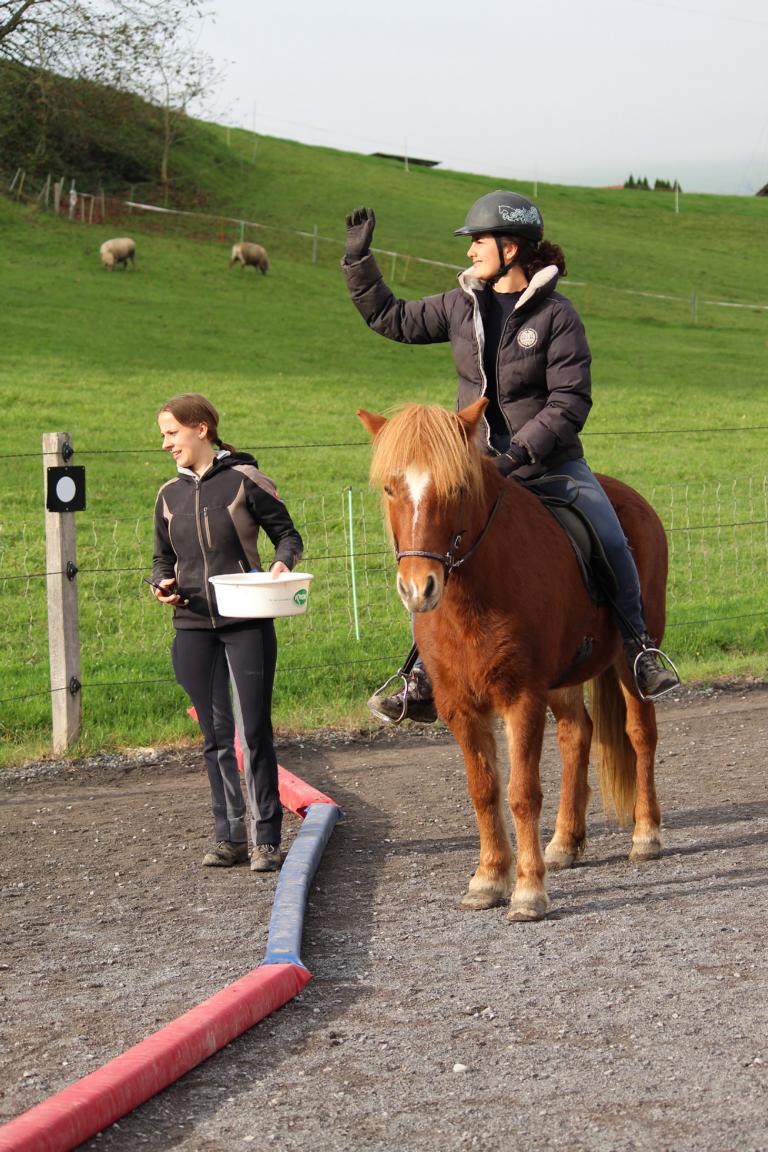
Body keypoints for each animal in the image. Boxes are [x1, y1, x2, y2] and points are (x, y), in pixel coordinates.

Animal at [358, 397, 667, 922]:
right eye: (389, 487)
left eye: (457, 488)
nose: (419, 588)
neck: (475, 591)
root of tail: (635, 501)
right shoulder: (460, 706)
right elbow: (483, 790)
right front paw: (488, 879)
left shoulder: (521, 696)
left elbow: (522, 793)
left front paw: (527, 891)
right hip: (563, 679)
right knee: (576, 736)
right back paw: (564, 842)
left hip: (629, 664)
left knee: (640, 733)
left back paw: (645, 835)